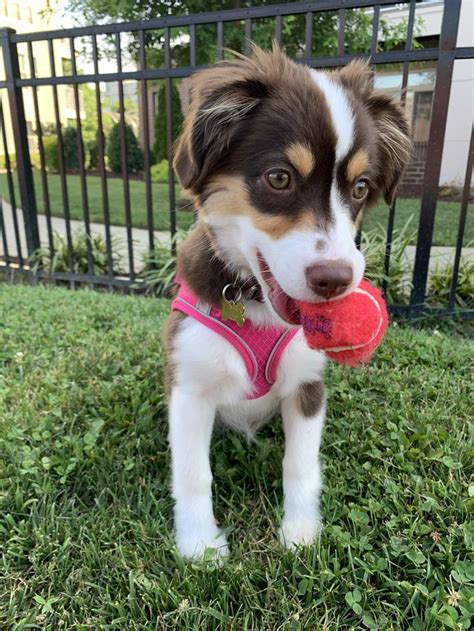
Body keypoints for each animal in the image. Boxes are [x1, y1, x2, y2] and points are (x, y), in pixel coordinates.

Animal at [164, 44, 412, 560]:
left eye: (360, 188)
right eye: (279, 178)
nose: (335, 280)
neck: (255, 302)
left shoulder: (307, 386)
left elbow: (300, 465)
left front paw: (300, 533)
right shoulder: (189, 388)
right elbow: (194, 473)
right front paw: (200, 547)